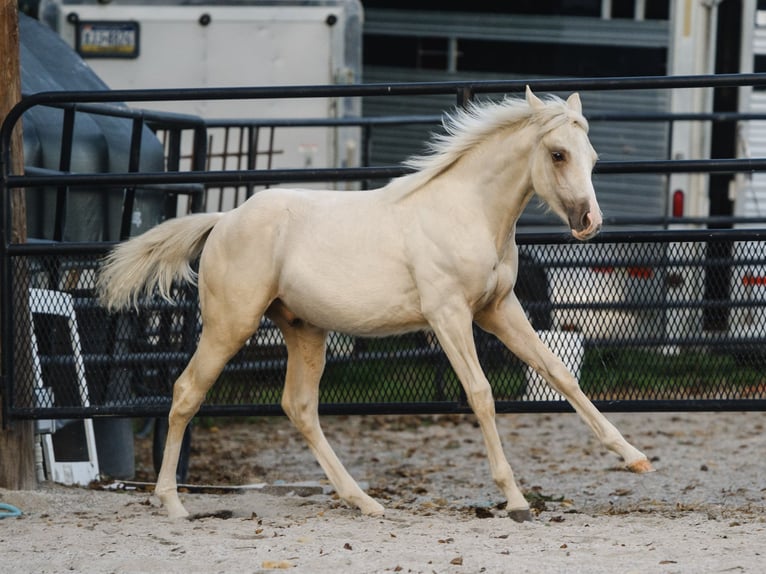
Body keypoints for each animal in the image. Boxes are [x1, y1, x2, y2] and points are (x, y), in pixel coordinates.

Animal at [97, 87, 653, 523]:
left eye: (592, 158)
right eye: (558, 154)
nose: (589, 221)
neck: (467, 210)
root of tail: (224, 220)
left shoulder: (499, 309)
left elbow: (559, 373)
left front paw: (634, 458)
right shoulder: (449, 315)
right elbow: (481, 394)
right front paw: (515, 499)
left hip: (304, 329)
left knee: (299, 407)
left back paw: (363, 501)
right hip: (230, 324)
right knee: (187, 390)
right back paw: (172, 503)